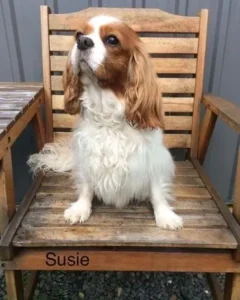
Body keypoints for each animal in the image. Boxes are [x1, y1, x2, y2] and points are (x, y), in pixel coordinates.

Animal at [28, 14, 182, 230]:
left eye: (111, 40)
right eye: (78, 35)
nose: (83, 42)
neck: (106, 112)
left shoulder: (152, 158)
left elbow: (157, 190)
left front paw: (165, 215)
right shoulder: (87, 155)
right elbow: (86, 186)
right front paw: (81, 208)